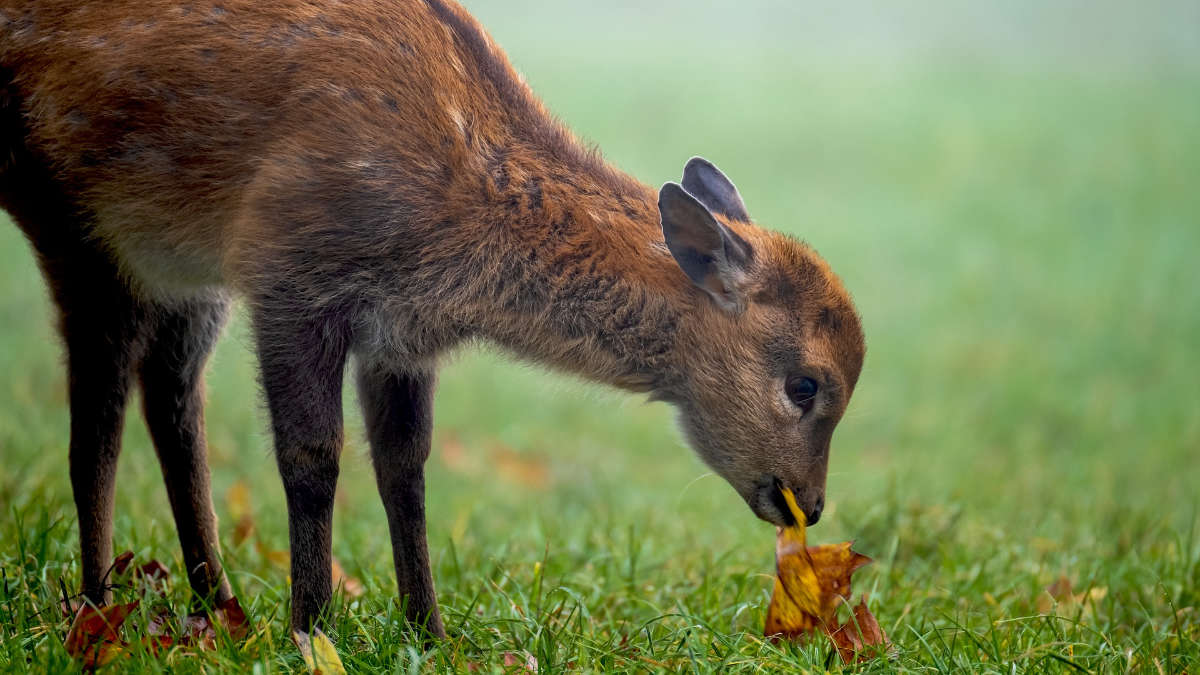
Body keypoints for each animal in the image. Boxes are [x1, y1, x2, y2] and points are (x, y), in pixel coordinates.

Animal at [0, 0, 864, 634]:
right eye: (806, 384)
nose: (809, 503)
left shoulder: (401, 336)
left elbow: (406, 468)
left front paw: (428, 628)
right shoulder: (289, 271)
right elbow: (312, 455)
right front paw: (312, 628)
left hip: (183, 270)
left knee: (173, 403)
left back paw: (216, 606)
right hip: (76, 224)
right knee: (97, 420)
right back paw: (98, 604)